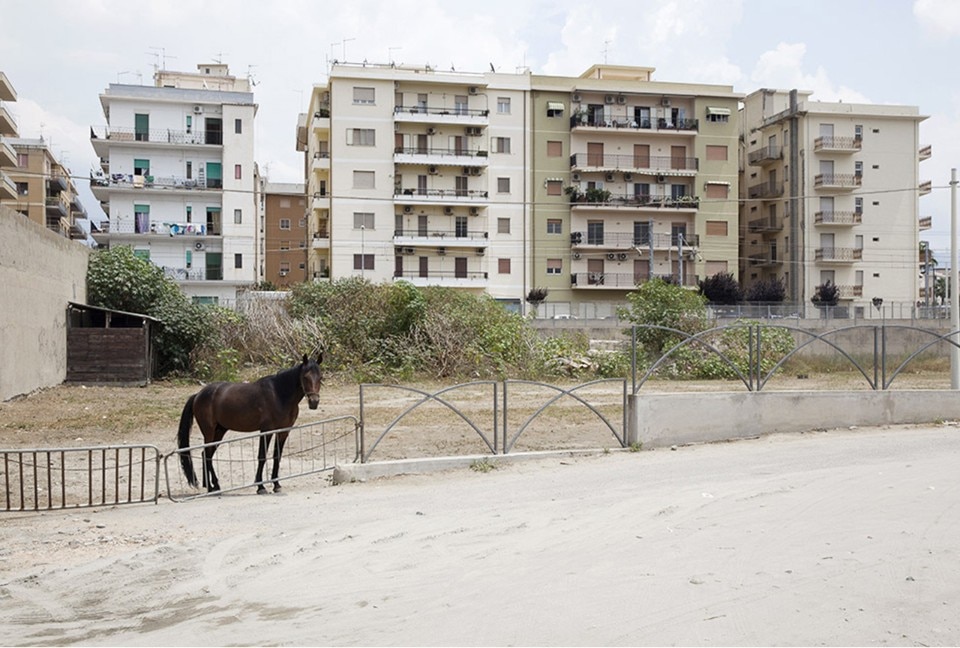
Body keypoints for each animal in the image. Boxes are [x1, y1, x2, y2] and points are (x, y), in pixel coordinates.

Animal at [174, 354, 320, 492]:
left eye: (320, 377)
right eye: (305, 377)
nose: (314, 402)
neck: (279, 395)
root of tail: (198, 395)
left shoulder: (283, 431)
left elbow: (277, 456)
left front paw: (276, 484)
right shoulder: (266, 431)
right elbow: (262, 456)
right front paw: (260, 486)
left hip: (219, 432)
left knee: (206, 454)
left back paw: (210, 485)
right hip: (209, 432)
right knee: (208, 455)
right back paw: (212, 487)